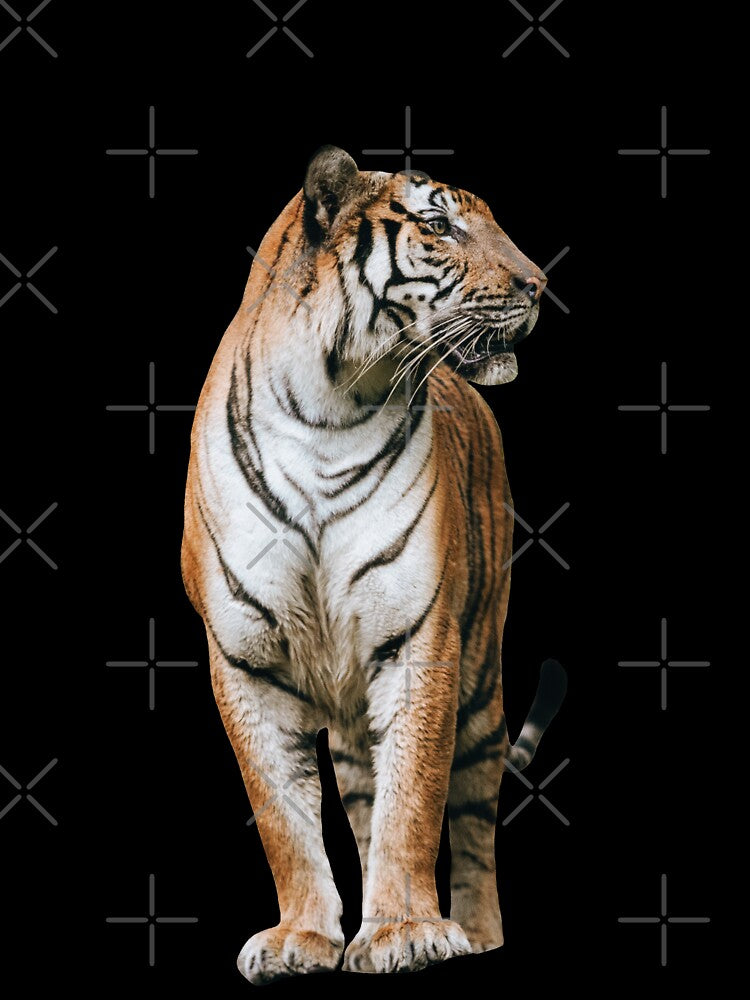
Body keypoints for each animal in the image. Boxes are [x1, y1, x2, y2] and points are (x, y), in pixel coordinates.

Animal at [181, 146, 567, 984]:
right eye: (439, 226)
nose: (538, 285)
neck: (327, 410)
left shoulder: (421, 640)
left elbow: (414, 798)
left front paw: (406, 931)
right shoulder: (243, 657)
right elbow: (283, 815)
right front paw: (302, 937)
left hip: (481, 676)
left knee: (473, 811)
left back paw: (476, 931)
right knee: (362, 799)